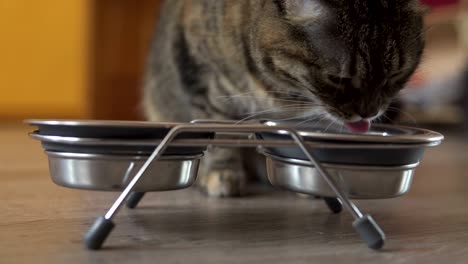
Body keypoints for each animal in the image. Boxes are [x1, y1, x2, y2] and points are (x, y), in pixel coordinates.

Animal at [141, 0, 426, 197]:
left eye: (395, 75)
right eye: (338, 79)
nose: (369, 113)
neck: (281, 87)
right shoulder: (205, 79)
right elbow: (218, 135)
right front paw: (222, 174)